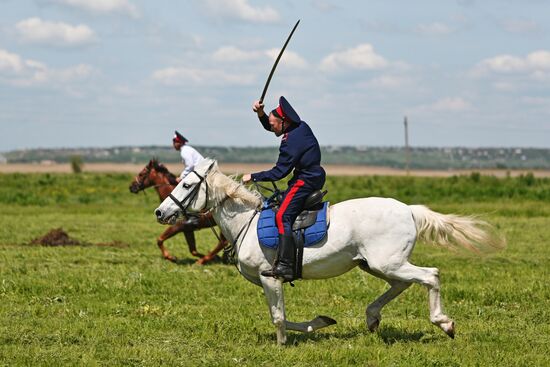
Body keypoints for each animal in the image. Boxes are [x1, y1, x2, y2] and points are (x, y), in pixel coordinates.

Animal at [154, 160, 504, 346]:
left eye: (187, 186)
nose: (160, 212)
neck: (246, 222)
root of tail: (408, 209)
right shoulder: (270, 282)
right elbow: (284, 316)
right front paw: (319, 323)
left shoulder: (270, 278)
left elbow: (278, 317)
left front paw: (281, 345)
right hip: (376, 265)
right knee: (401, 284)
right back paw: (372, 317)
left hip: (387, 262)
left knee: (430, 275)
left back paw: (444, 323)